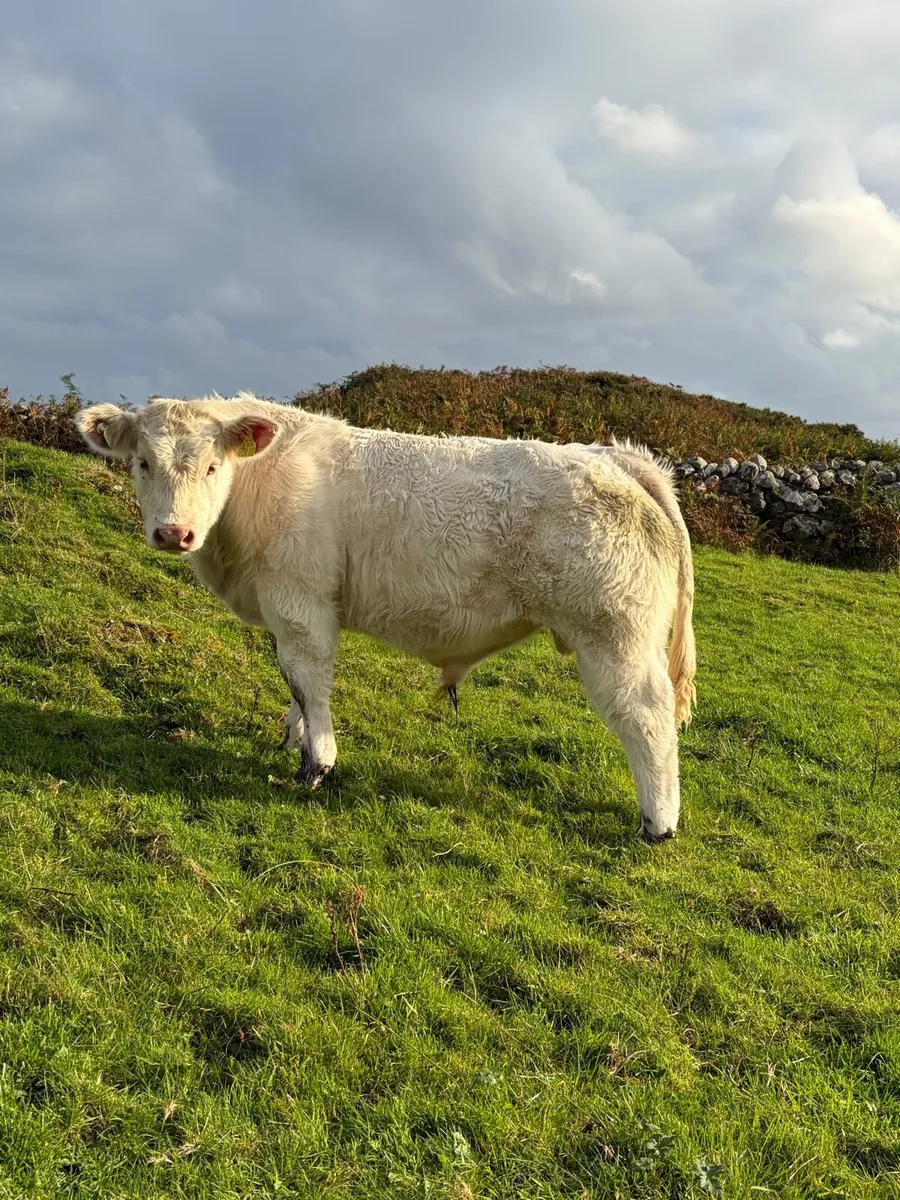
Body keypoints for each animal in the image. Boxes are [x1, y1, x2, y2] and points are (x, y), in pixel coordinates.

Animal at [76, 394, 696, 842]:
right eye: (142, 463)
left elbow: (309, 680)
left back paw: (658, 823)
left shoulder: (300, 601)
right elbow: (292, 684)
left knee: (648, 716)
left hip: (614, 636)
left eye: (210, 466)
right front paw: (292, 738)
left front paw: (316, 764)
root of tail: (613, 456)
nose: (174, 533)